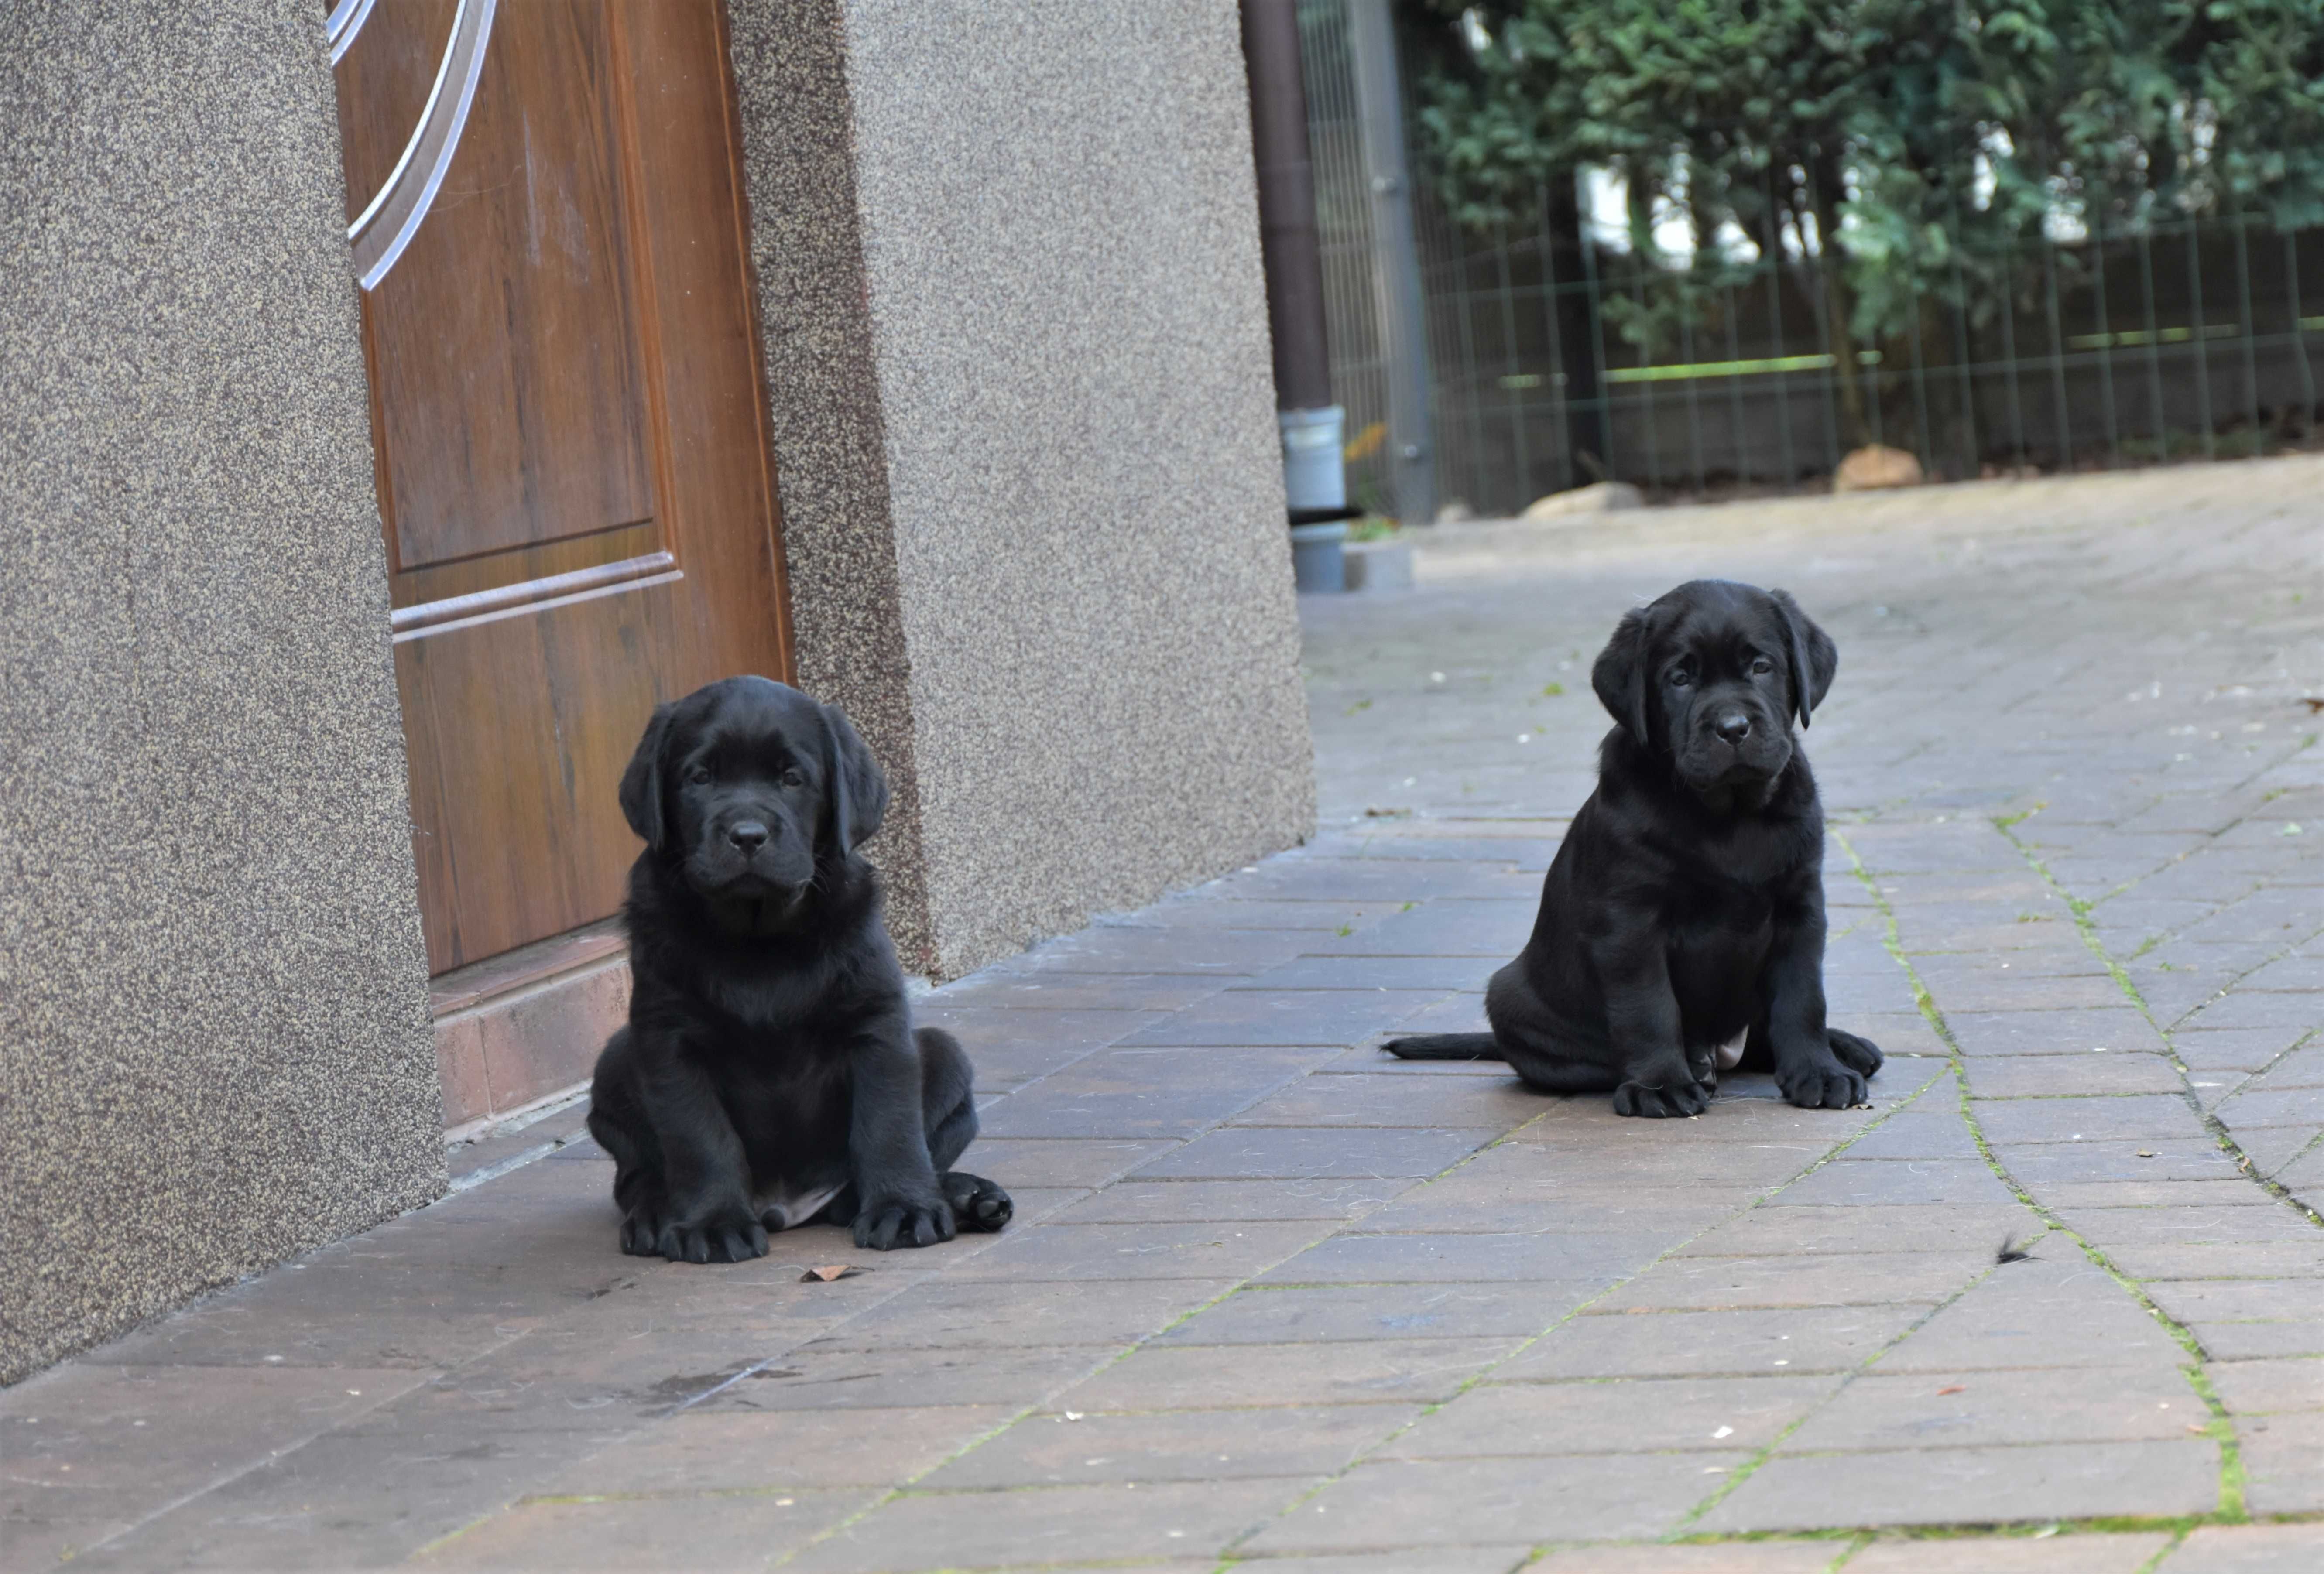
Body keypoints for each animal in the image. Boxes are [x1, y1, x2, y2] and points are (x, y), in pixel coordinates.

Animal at [586, 669, 1004, 1255]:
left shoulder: (876, 1022)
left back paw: (969, 1196)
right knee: (634, 1178)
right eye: (700, 777)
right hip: (615, 1062)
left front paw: (903, 1207)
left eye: (791, 778)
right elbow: (698, 1136)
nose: (747, 836)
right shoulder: (668, 1037)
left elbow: (889, 1124)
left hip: (945, 1055)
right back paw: (653, 1216)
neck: (761, 938)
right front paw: (714, 1222)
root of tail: (789, 1208)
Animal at [1385, 581, 1878, 1116]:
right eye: (1680, 678)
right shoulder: (1630, 922)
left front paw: (1820, 1071)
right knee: (1592, 1059)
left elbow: (1802, 998)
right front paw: (1660, 1084)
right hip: (1511, 998)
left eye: (1761, 667)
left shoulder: (1800, 906)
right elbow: (1648, 1006)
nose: (1732, 727)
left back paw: (1844, 1046)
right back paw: (1694, 1066)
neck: (1729, 814)